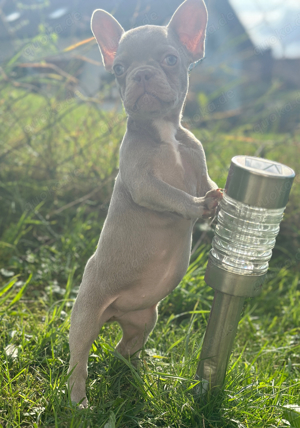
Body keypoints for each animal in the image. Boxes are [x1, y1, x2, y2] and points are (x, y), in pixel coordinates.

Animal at [68, 0, 223, 406]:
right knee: (78, 362)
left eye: (170, 59)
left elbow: (209, 183)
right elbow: (171, 195)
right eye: (119, 69)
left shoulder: (200, 166)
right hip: (85, 316)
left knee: (125, 349)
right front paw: (196, 207)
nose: (140, 75)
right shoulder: (142, 181)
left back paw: (138, 375)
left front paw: (219, 201)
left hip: (144, 320)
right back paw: (79, 401)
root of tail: (113, 314)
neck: (164, 131)